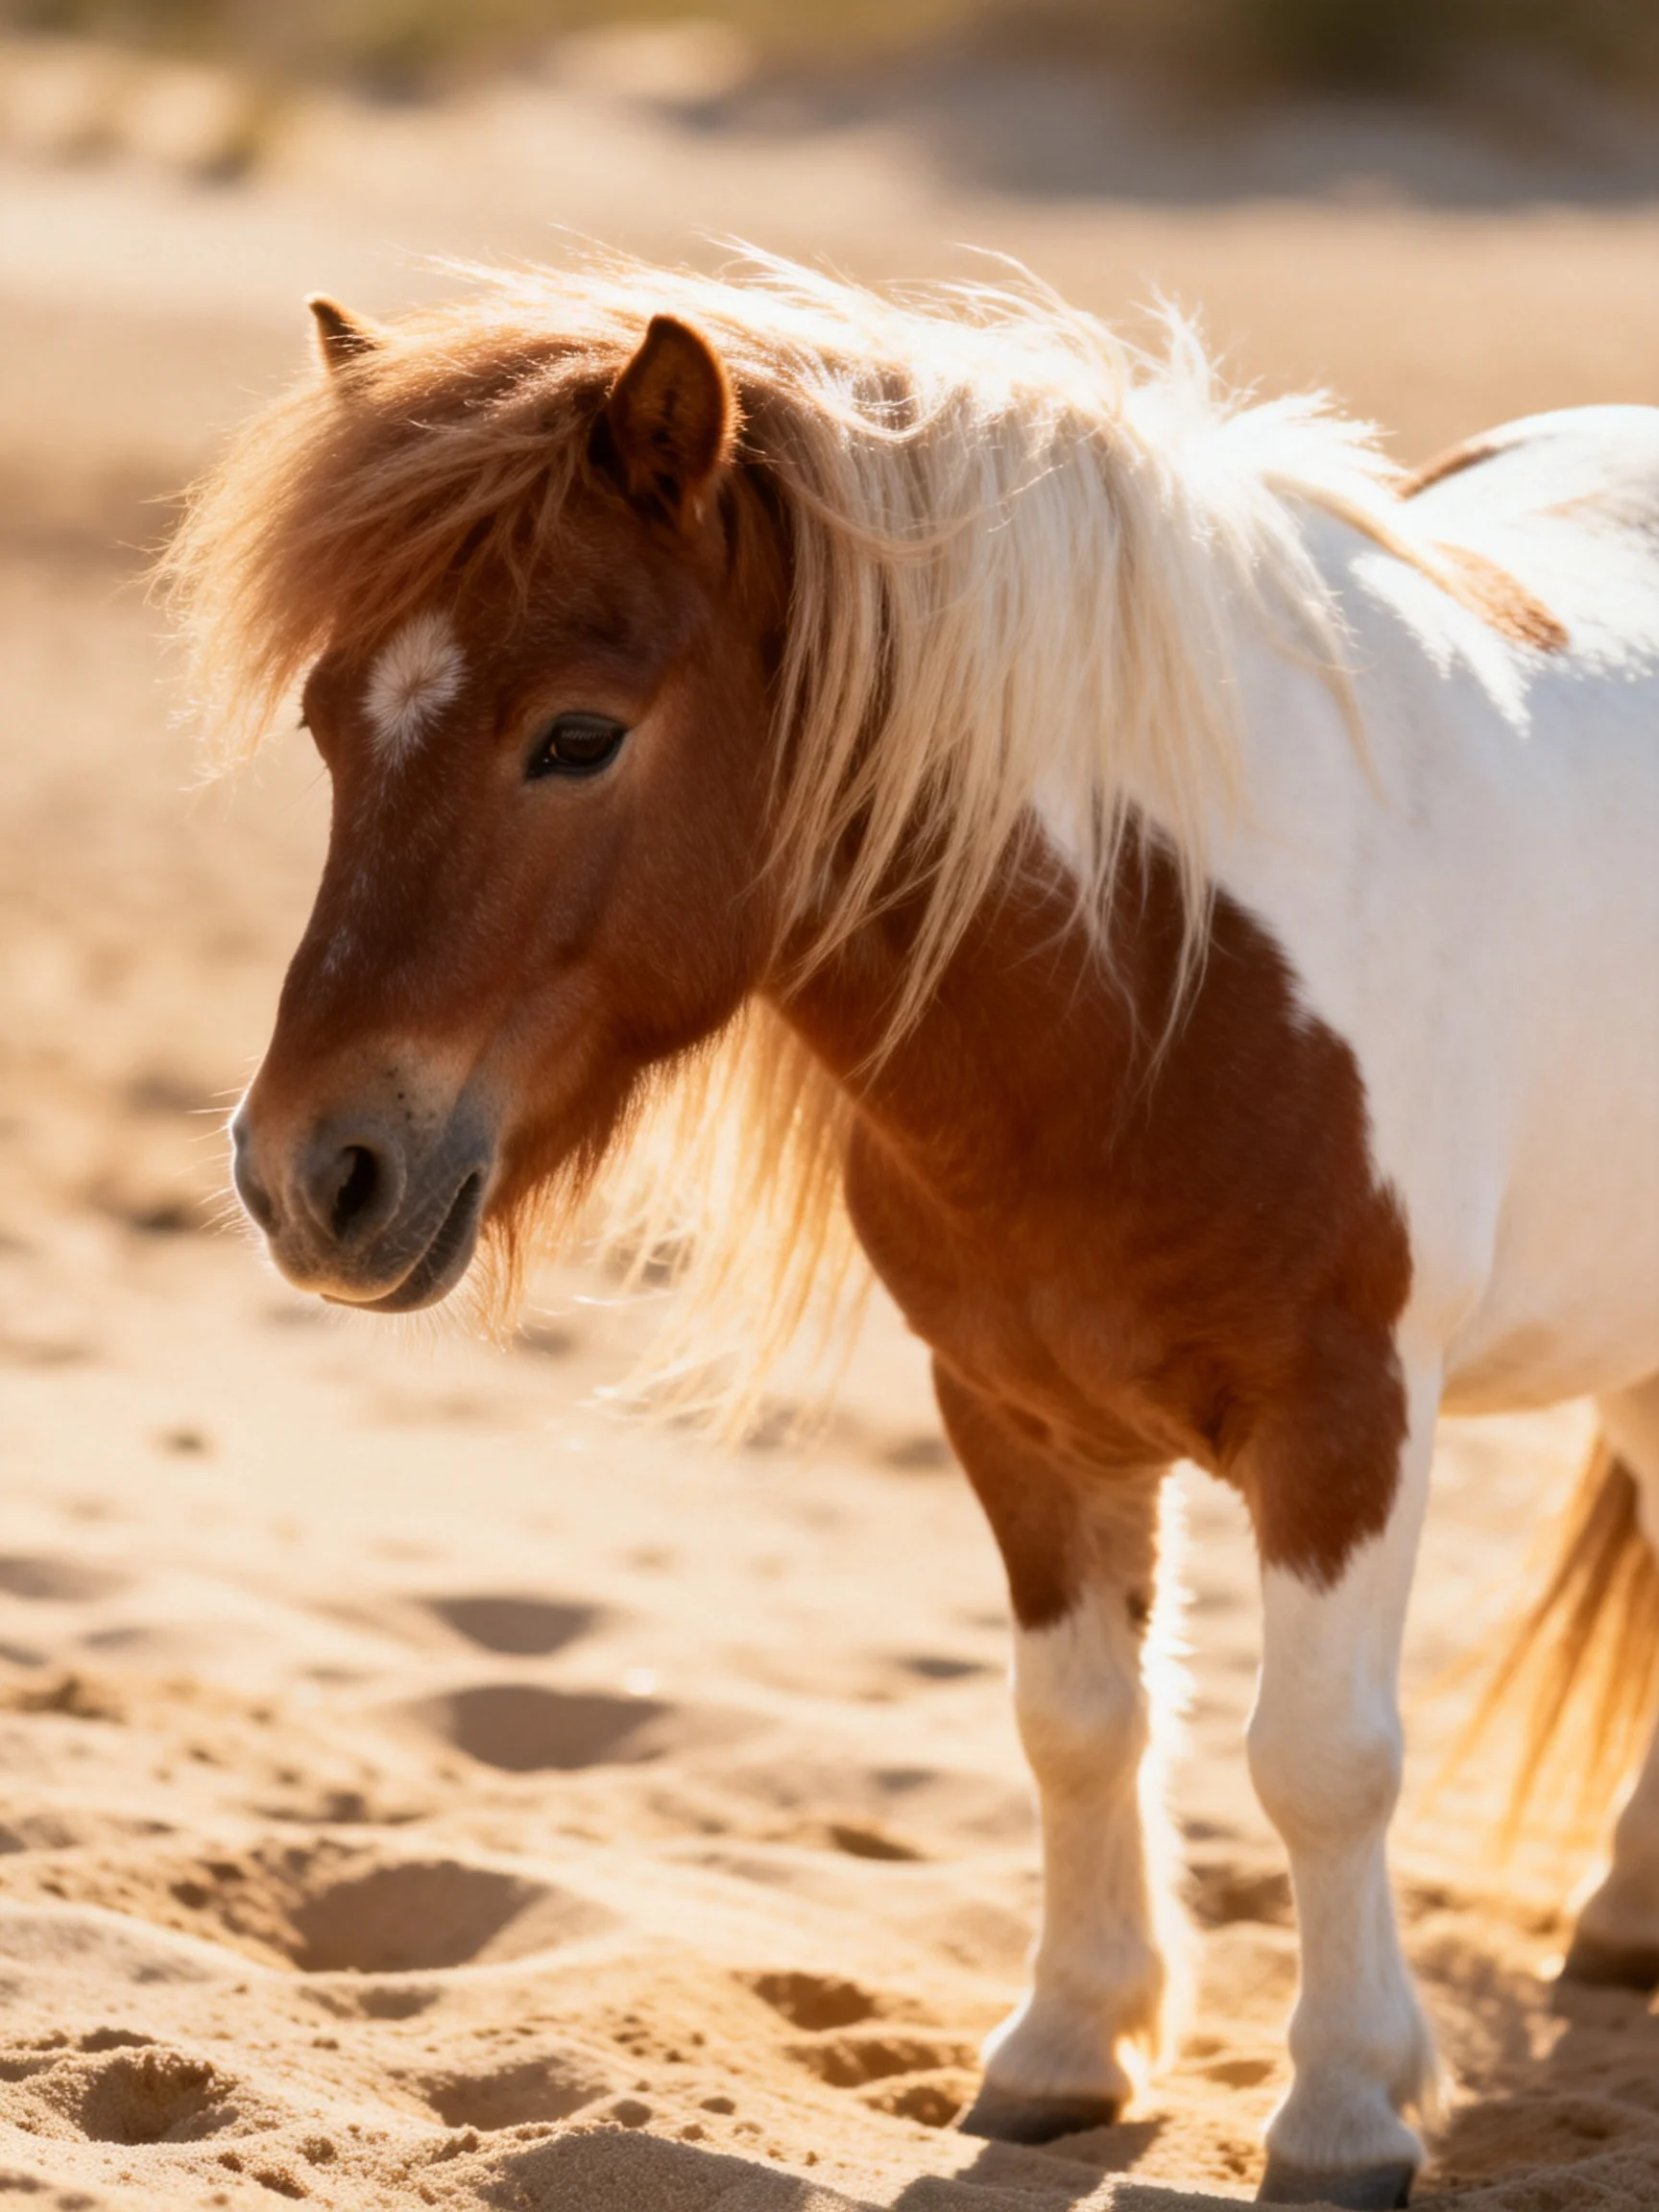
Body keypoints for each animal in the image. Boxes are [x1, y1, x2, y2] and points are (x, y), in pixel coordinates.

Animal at [167, 254, 1659, 2209]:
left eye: (577, 735)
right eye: (329, 726)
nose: (306, 1174)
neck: (1159, 973)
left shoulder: (1343, 1422)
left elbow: (1320, 1758)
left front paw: (1342, 2106)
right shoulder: (1016, 1413)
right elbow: (1076, 1723)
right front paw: (1064, 2050)